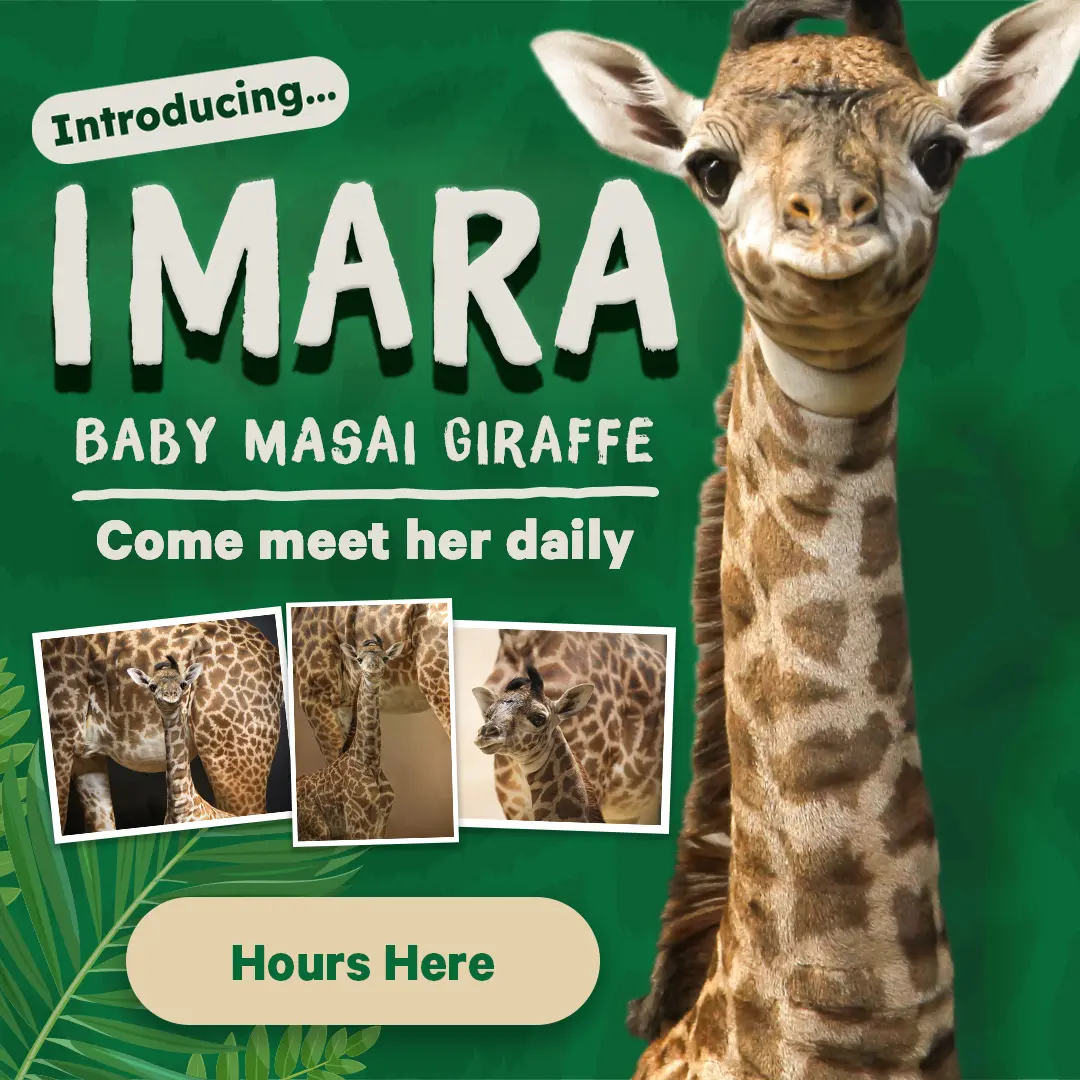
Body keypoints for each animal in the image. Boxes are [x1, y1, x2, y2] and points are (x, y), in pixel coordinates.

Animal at [291, 602, 450, 764]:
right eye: (359, 659)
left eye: (385, 658)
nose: (372, 671)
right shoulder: (344, 705)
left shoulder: (314, 691)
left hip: (437, 687)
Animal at [295, 635, 404, 842]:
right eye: (359, 659)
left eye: (385, 658)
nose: (372, 669)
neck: (370, 761)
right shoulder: (357, 826)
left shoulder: (381, 827)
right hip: (319, 833)